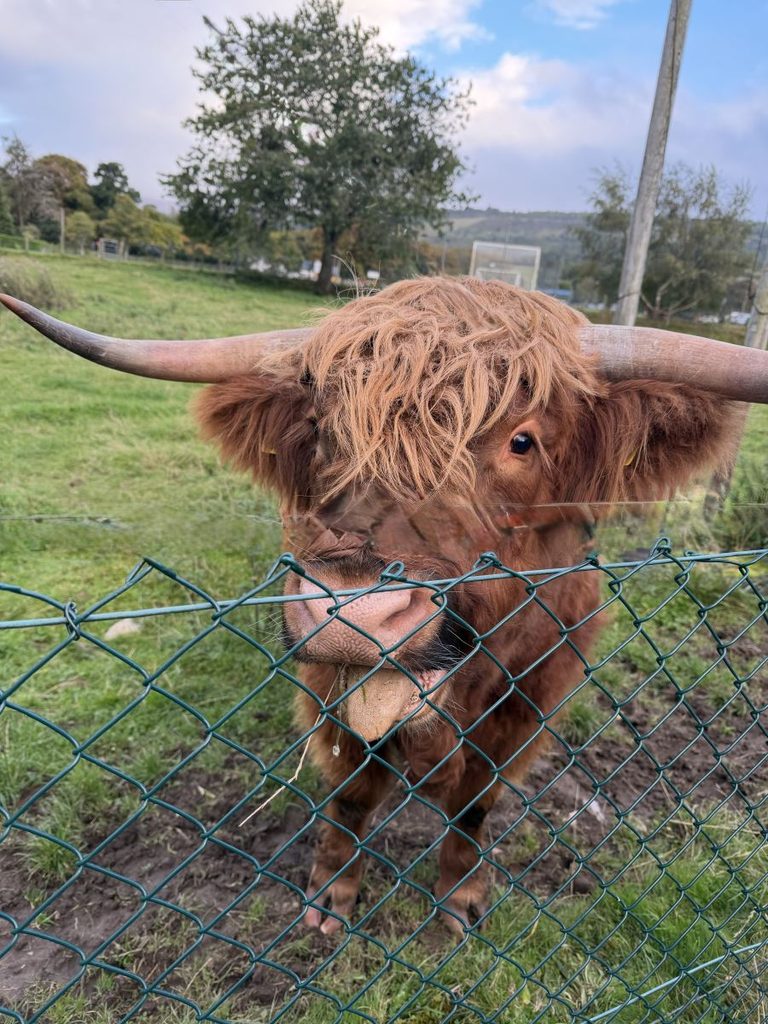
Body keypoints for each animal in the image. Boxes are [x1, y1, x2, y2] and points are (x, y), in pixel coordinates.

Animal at [3, 277, 767, 936]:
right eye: (322, 427)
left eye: (523, 440)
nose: (354, 611)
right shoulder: (327, 688)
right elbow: (352, 791)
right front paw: (331, 894)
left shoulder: (531, 703)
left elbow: (475, 805)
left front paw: (461, 897)